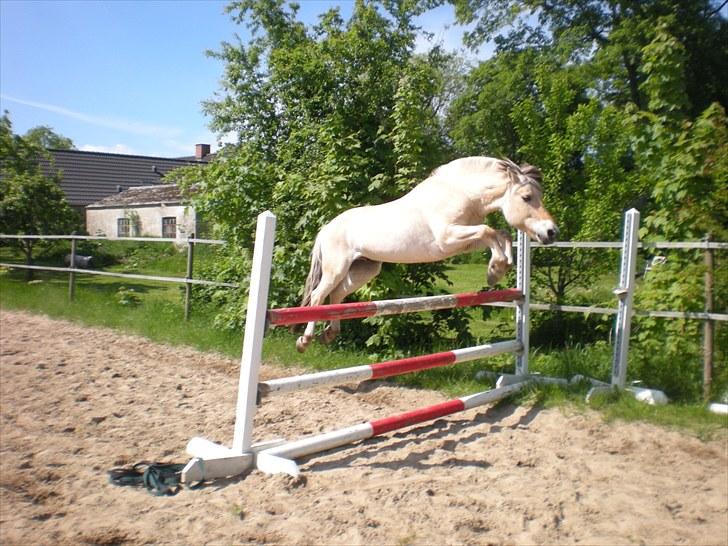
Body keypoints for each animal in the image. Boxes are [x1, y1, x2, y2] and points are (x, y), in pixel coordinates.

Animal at [294, 155, 556, 350]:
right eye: (526, 197)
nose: (551, 232)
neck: (461, 193)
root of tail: (327, 228)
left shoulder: (463, 241)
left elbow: (500, 235)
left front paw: (498, 269)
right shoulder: (448, 238)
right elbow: (488, 231)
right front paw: (496, 270)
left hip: (364, 269)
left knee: (336, 295)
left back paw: (329, 334)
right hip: (336, 268)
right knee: (318, 296)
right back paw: (305, 340)